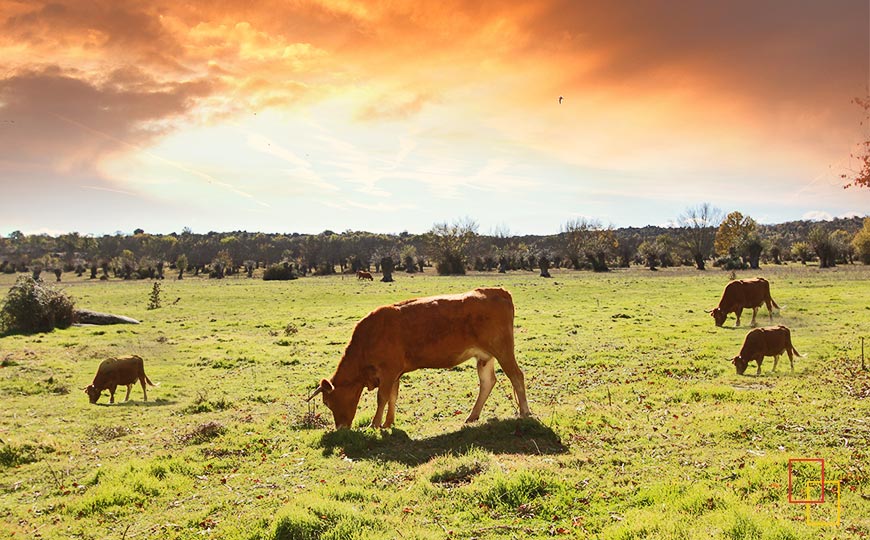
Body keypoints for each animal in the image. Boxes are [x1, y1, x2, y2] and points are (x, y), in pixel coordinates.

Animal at [310, 286, 536, 430]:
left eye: (327, 402)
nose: (340, 428)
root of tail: (498, 291)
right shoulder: (395, 373)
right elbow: (393, 396)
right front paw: (388, 423)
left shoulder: (388, 371)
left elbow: (382, 397)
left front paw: (374, 424)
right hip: (484, 356)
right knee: (488, 382)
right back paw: (472, 416)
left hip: (503, 349)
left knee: (516, 376)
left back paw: (524, 411)